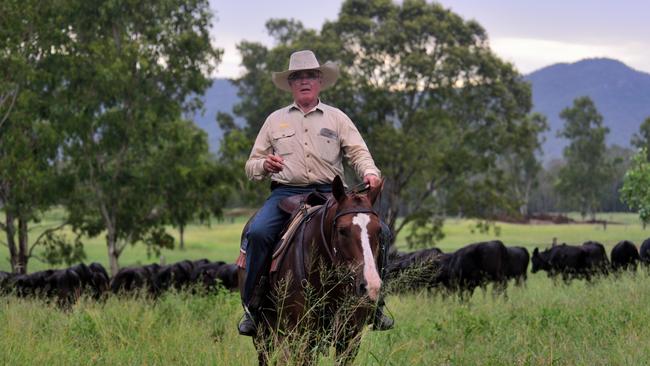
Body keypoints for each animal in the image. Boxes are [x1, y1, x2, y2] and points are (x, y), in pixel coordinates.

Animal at [237, 176, 380, 364]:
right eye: (342, 230)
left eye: (378, 230)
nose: (370, 285)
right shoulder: (303, 336)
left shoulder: (350, 339)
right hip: (263, 333)